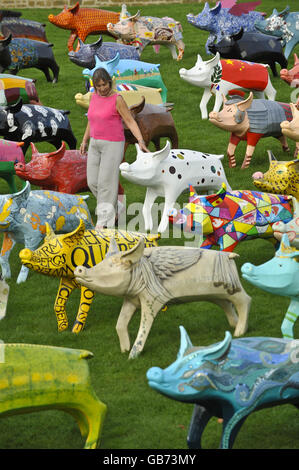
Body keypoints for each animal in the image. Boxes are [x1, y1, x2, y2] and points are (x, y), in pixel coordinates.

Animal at [19, 220, 159, 334]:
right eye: (43, 244)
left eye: (53, 248)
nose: (24, 252)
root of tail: (153, 238)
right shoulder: (67, 281)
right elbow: (57, 303)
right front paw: (61, 328)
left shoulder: (88, 283)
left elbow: (84, 305)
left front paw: (75, 331)